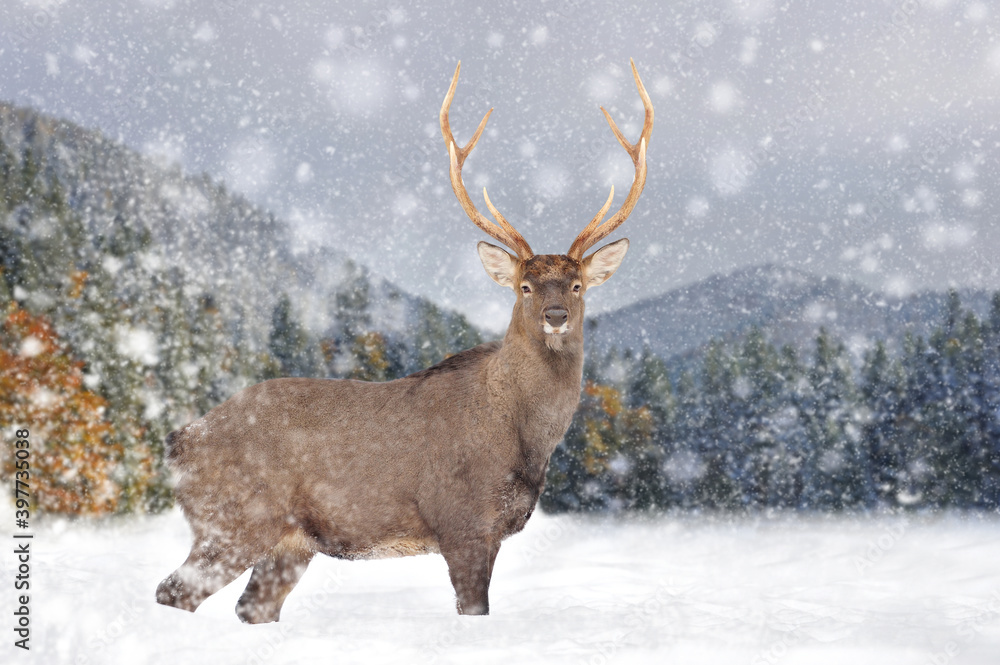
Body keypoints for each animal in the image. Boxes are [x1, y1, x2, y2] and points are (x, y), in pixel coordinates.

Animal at [155, 58, 652, 624]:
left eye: (577, 284)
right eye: (524, 285)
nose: (555, 315)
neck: (522, 436)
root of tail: (180, 441)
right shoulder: (461, 519)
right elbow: (473, 610)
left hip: (290, 543)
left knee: (250, 608)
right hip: (236, 519)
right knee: (173, 592)